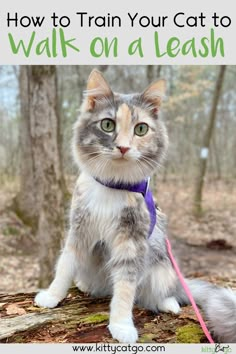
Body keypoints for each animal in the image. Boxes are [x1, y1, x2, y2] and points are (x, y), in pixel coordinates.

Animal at [34, 69, 236, 342]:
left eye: (141, 129)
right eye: (107, 125)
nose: (123, 147)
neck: (113, 186)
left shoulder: (132, 241)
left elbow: (125, 290)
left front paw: (121, 325)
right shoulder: (79, 230)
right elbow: (64, 267)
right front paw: (52, 296)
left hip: (162, 268)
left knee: (157, 294)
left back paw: (169, 302)